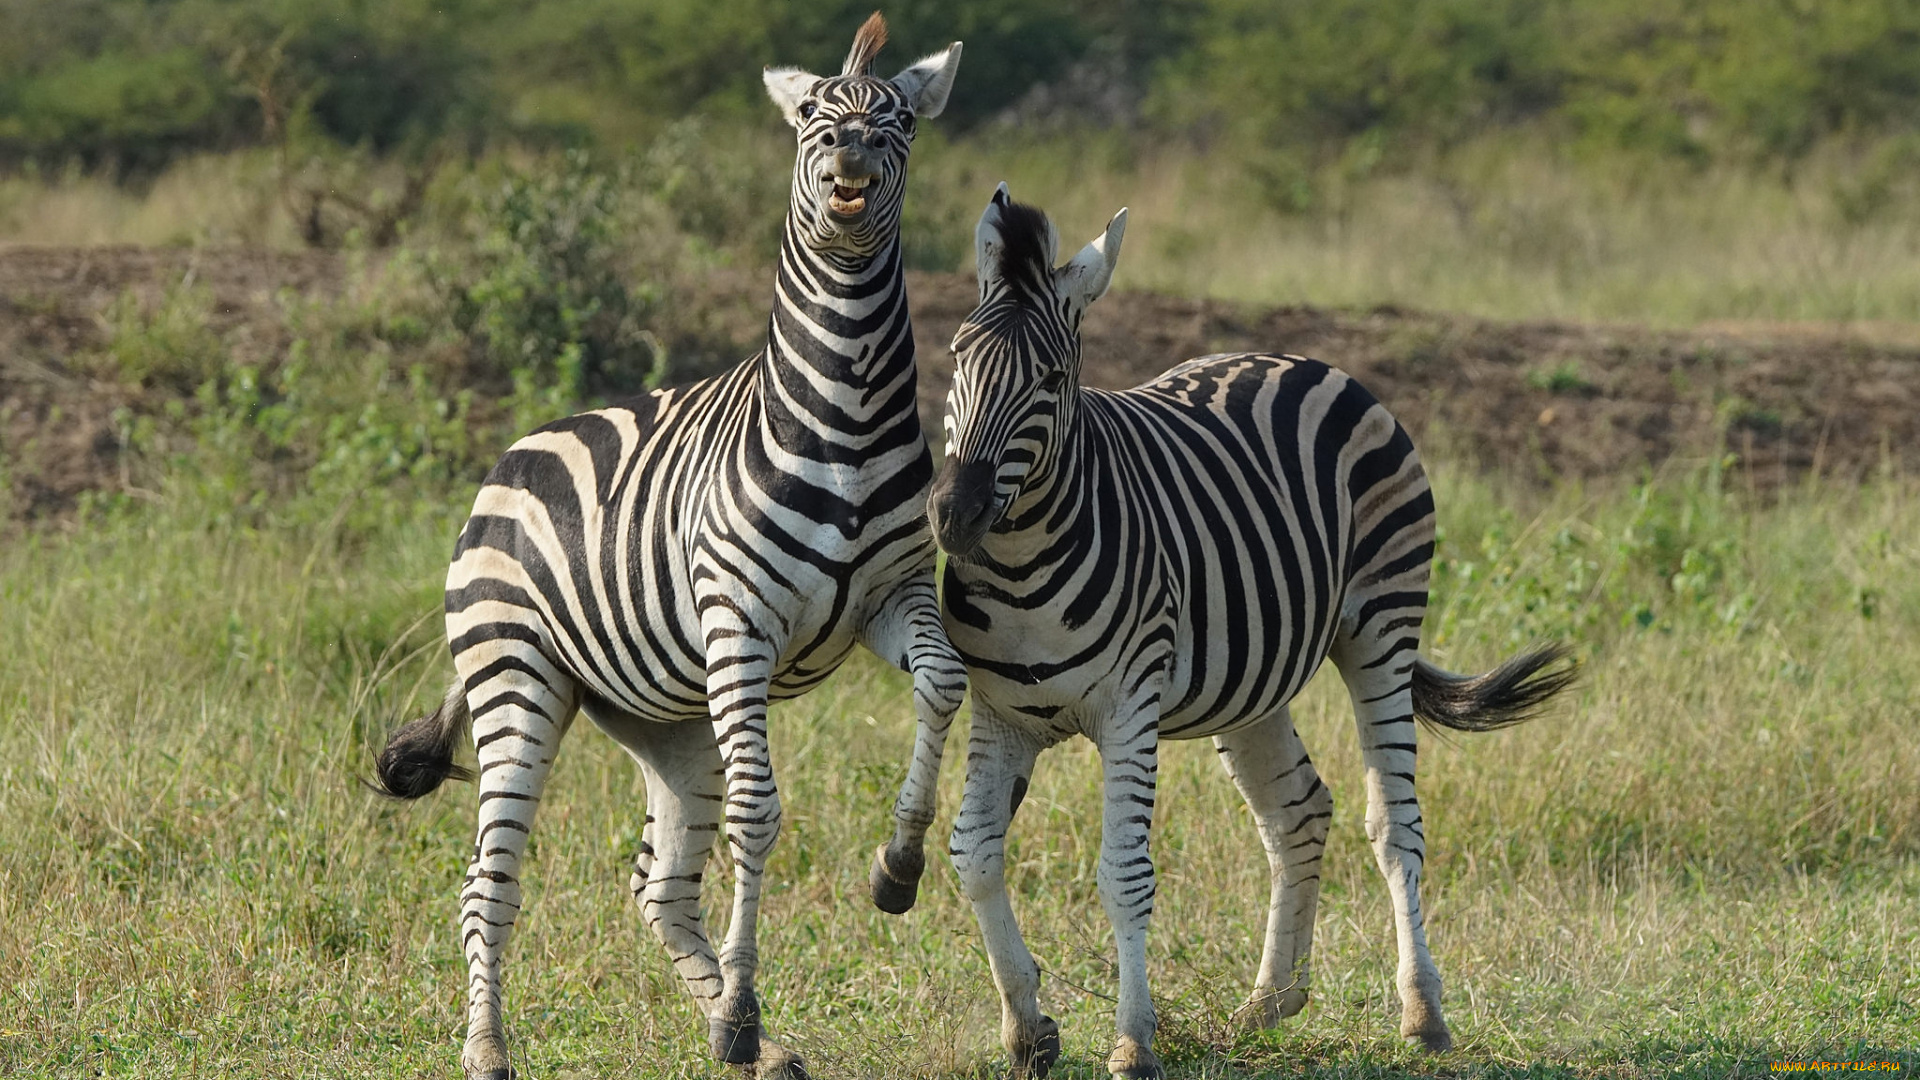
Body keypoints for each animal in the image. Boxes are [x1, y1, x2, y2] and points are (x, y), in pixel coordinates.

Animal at [372, 14, 967, 1068]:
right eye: (811, 119)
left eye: (896, 119)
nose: (852, 160)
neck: (848, 414)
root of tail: (510, 456)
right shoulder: (741, 626)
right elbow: (760, 813)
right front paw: (738, 1012)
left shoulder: (893, 596)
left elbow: (943, 684)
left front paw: (896, 869)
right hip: (517, 677)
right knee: (488, 882)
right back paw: (488, 1050)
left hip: (666, 718)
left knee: (658, 885)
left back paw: (760, 1047)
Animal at [929, 187, 1574, 1076]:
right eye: (956, 357)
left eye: (1051, 380)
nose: (953, 515)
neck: (1023, 569)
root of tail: (1299, 358)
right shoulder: (1000, 715)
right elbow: (974, 853)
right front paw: (1028, 1029)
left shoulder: (1129, 709)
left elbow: (1123, 873)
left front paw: (1133, 1042)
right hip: (1251, 679)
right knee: (1298, 811)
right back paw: (1271, 1003)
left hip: (1382, 626)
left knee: (1394, 825)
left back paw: (1422, 1013)